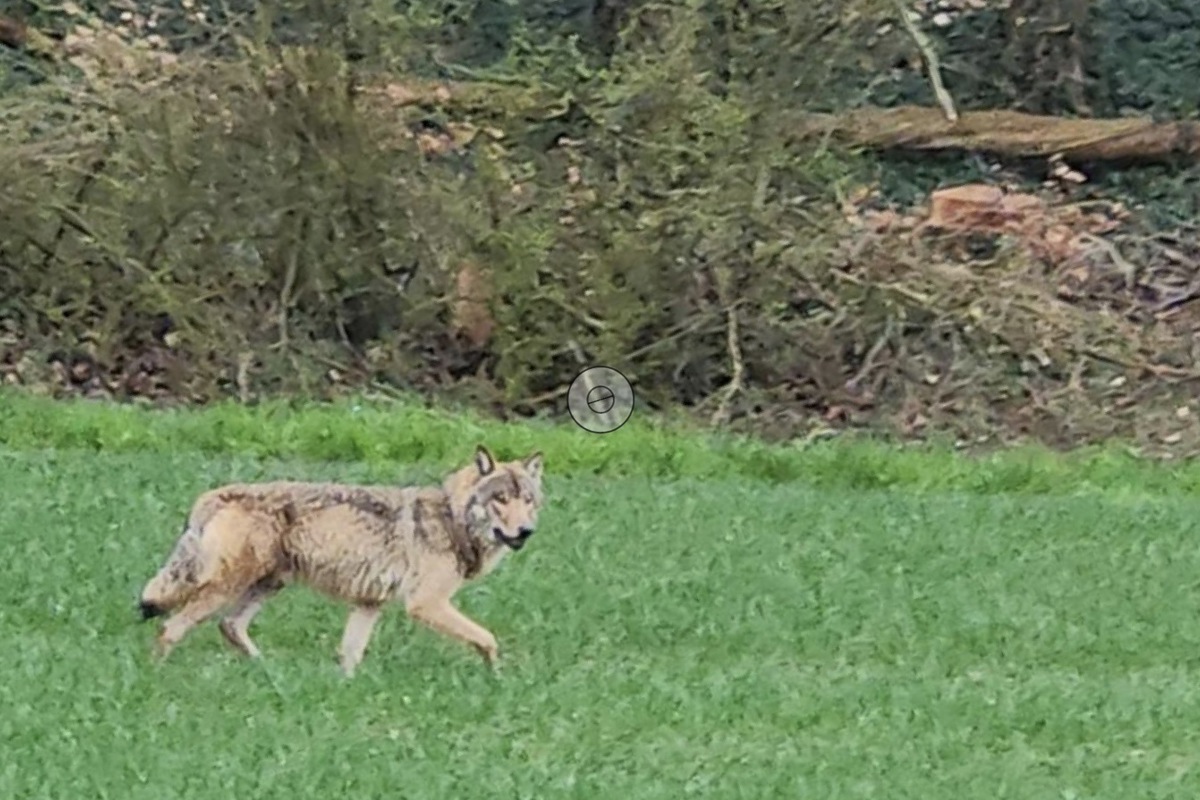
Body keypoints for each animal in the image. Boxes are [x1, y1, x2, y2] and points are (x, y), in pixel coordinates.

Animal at [136, 443, 544, 676]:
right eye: (501, 499)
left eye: (528, 500)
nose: (526, 531)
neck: (451, 516)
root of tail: (214, 495)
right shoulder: (426, 604)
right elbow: (488, 639)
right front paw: (496, 677)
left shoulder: (368, 604)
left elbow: (350, 656)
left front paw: (344, 690)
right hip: (226, 587)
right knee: (171, 627)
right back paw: (155, 680)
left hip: (267, 585)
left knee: (230, 627)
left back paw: (268, 673)